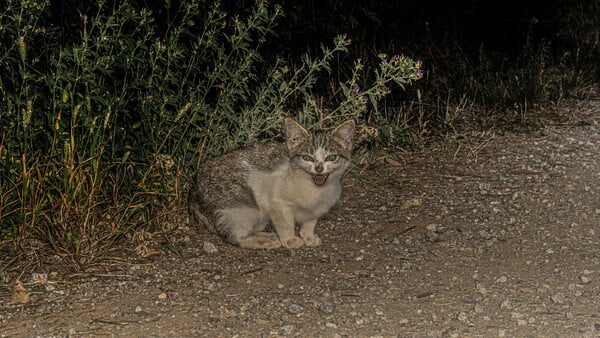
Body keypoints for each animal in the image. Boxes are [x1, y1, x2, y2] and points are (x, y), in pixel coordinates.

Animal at [190, 118, 354, 248]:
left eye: (331, 158)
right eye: (307, 158)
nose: (319, 168)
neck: (315, 191)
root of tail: (194, 191)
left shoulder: (316, 209)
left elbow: (309, 222)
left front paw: (307, 236)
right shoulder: (278, 203)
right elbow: (286, 224)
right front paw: (289, 240)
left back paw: (266, 235)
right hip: (241, 208)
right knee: (236, 237)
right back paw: (264, 241)